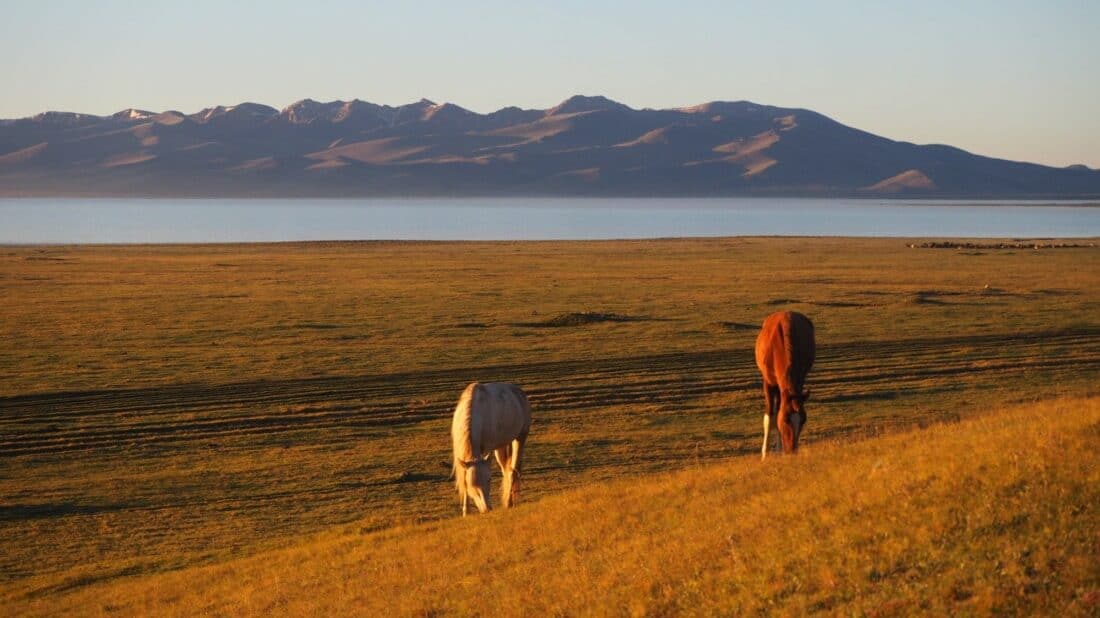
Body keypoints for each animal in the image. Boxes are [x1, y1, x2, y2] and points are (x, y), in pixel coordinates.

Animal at [450, 382, 531, 516]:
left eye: (489, 480)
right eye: (472, 484)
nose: (487, 509)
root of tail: (519, 391)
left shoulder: (487, 449)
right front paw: (466, 513)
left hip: (520, 438)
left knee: (512, 471)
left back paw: (509, 503)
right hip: (502, 445)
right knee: (506, 470)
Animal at [754, 311, 815, 459]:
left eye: (803, 420)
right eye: (786, 420)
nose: (792, 451)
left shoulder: (799, 381)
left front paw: (779, 451)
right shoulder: (768, 382)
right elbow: (770, 416)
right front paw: (765, 455)